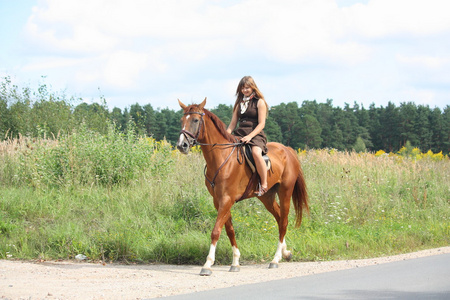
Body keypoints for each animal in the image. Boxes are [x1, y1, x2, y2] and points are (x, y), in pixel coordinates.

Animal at [178, 98, 308, 276]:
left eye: (196, 120)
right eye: (181, 120)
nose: (182, 145)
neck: (221, 158)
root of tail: (287, 150)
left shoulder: (227, 199)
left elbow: (216, 231)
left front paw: (207, 264)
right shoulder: (218, 201)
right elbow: (229, 230)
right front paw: (235, 262)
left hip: (285, 192)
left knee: (284, 221)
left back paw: (275, 259)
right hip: (266, 197)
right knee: (279, 217)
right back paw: (285, 252)